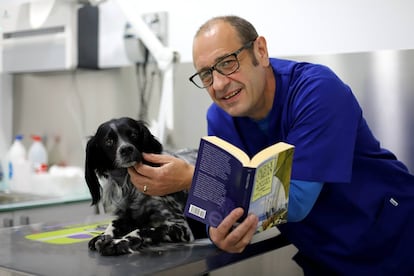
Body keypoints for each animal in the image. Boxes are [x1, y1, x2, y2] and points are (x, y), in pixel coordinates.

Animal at [85, 117, 205, 256]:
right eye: (108, 141)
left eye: (133, 134)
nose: (126, 149)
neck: (130, 185)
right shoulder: (127, 216)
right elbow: (113, 223)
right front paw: (102, 236)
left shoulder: (181, 226)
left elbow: (144, 230)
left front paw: (119, 242)